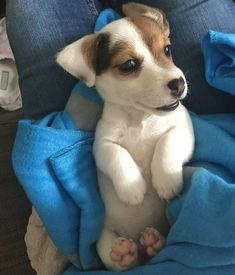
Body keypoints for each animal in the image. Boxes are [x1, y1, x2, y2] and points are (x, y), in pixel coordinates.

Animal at [57, 2, 195, 272]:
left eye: (167, 49)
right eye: (129, 65)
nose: (179, 83)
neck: (139, 117)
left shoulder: (184, 127)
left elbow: (168, 143)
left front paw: (165, 180)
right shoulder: (102, 143)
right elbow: (117, 155)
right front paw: (133, 187)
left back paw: (154, 242)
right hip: (105, 242)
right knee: (123, 264)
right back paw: (127, 253)